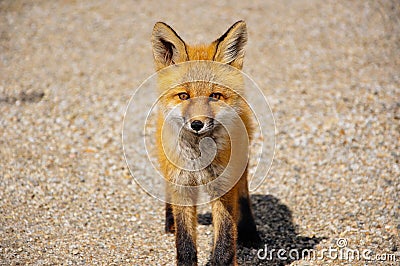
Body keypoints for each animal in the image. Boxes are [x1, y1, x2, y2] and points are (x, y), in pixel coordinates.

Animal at [152, 20, 260, 264]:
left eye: (215, 96)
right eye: (184, 96)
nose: (197, 124)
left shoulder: (224, 186)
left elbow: (226, 237)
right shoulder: (181, 184)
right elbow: (185, 241)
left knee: (244, 194)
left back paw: (249, 231)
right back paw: (169, 219)